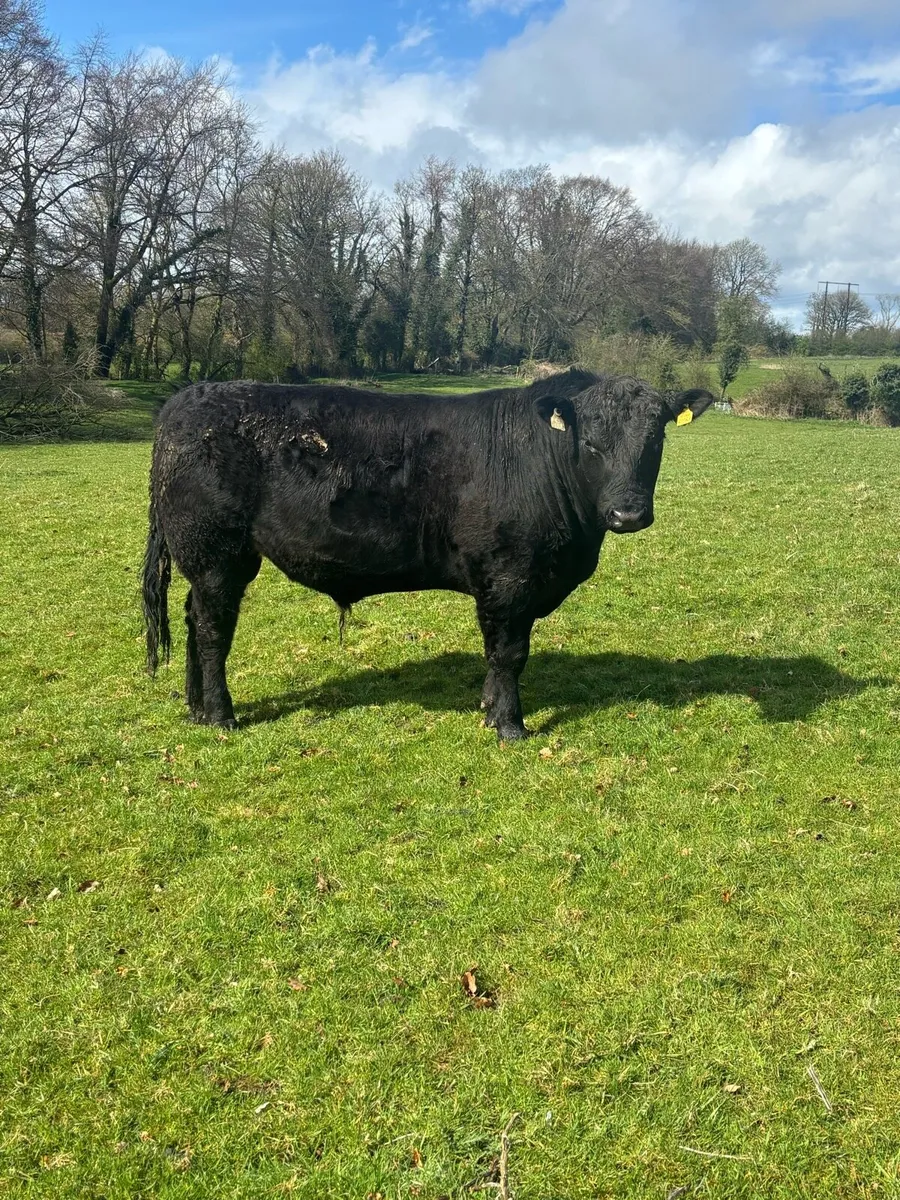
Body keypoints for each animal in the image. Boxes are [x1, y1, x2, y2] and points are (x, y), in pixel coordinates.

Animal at [142, 370, 714, 741]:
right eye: (591, 443)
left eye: (656, 439)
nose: (627, 513)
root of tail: (185, 401)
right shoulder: (508, 577)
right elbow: (509, 653)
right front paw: (509, 725)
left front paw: (489, 707)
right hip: (218, 554)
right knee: (213, 628)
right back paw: (221, 715)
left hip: (206, 560)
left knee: (194, 620)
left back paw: (196, 708)